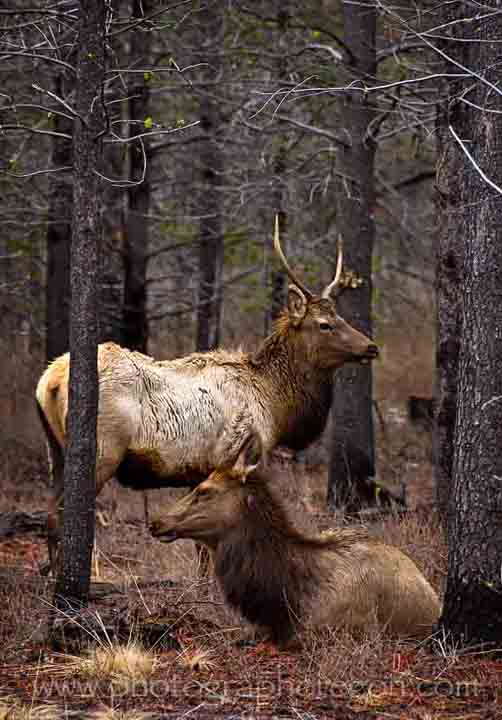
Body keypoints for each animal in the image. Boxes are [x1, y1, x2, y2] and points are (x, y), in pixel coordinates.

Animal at [37, 217, 378, 572]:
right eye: (325, 324)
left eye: (340, 317)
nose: (371, 346)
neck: (275, 404)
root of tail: (50, 380)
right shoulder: (236, 453)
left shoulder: (198, 469)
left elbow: (199, 540)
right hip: (103, 450)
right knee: (61, 512)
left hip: (55, 450)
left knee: (48, 512)